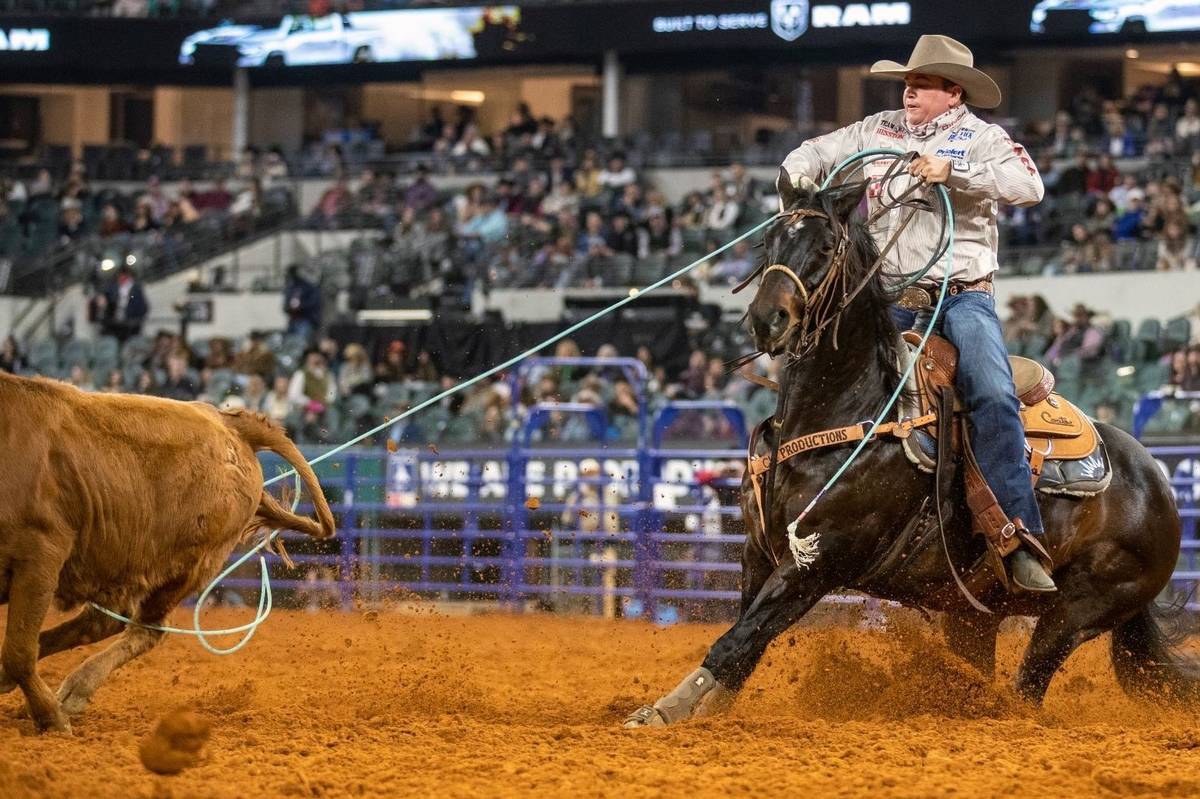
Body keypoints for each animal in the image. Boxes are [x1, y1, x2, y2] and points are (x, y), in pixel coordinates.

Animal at [624, 177, 1195, 724]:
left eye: (826, 246)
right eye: (770, 241)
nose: (768, 320)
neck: (848, 406)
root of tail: (1157, 485)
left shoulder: (817, 561)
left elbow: (736, 643)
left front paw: (658, 713)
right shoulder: (758, 553)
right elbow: (744, 646)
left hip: (1078, 609)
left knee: (1030, 686)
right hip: (972, 615)